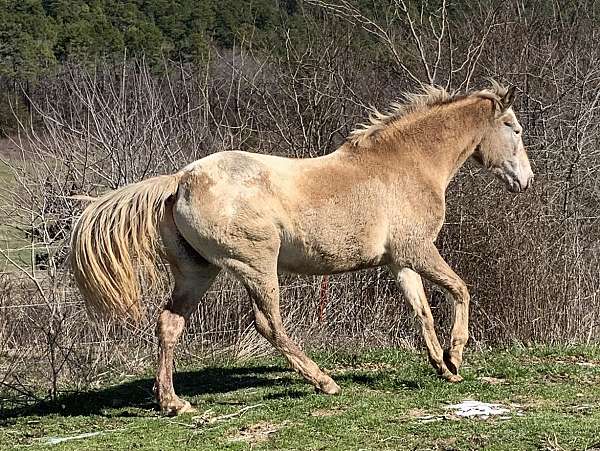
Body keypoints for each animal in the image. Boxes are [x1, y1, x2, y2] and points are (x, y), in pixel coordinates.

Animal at [70, 82, 536, 416]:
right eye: (514, 129)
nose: (525, 181)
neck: (407, 164)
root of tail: (180, 180)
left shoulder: (400, 262)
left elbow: (421, 310)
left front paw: (442, 367)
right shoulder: (419, 250)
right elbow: (461, 290)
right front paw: (456, 356)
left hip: (198, 272)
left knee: (169, 324)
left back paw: (172, 403)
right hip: (256, 266)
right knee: (268, 324)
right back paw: (324, 381)